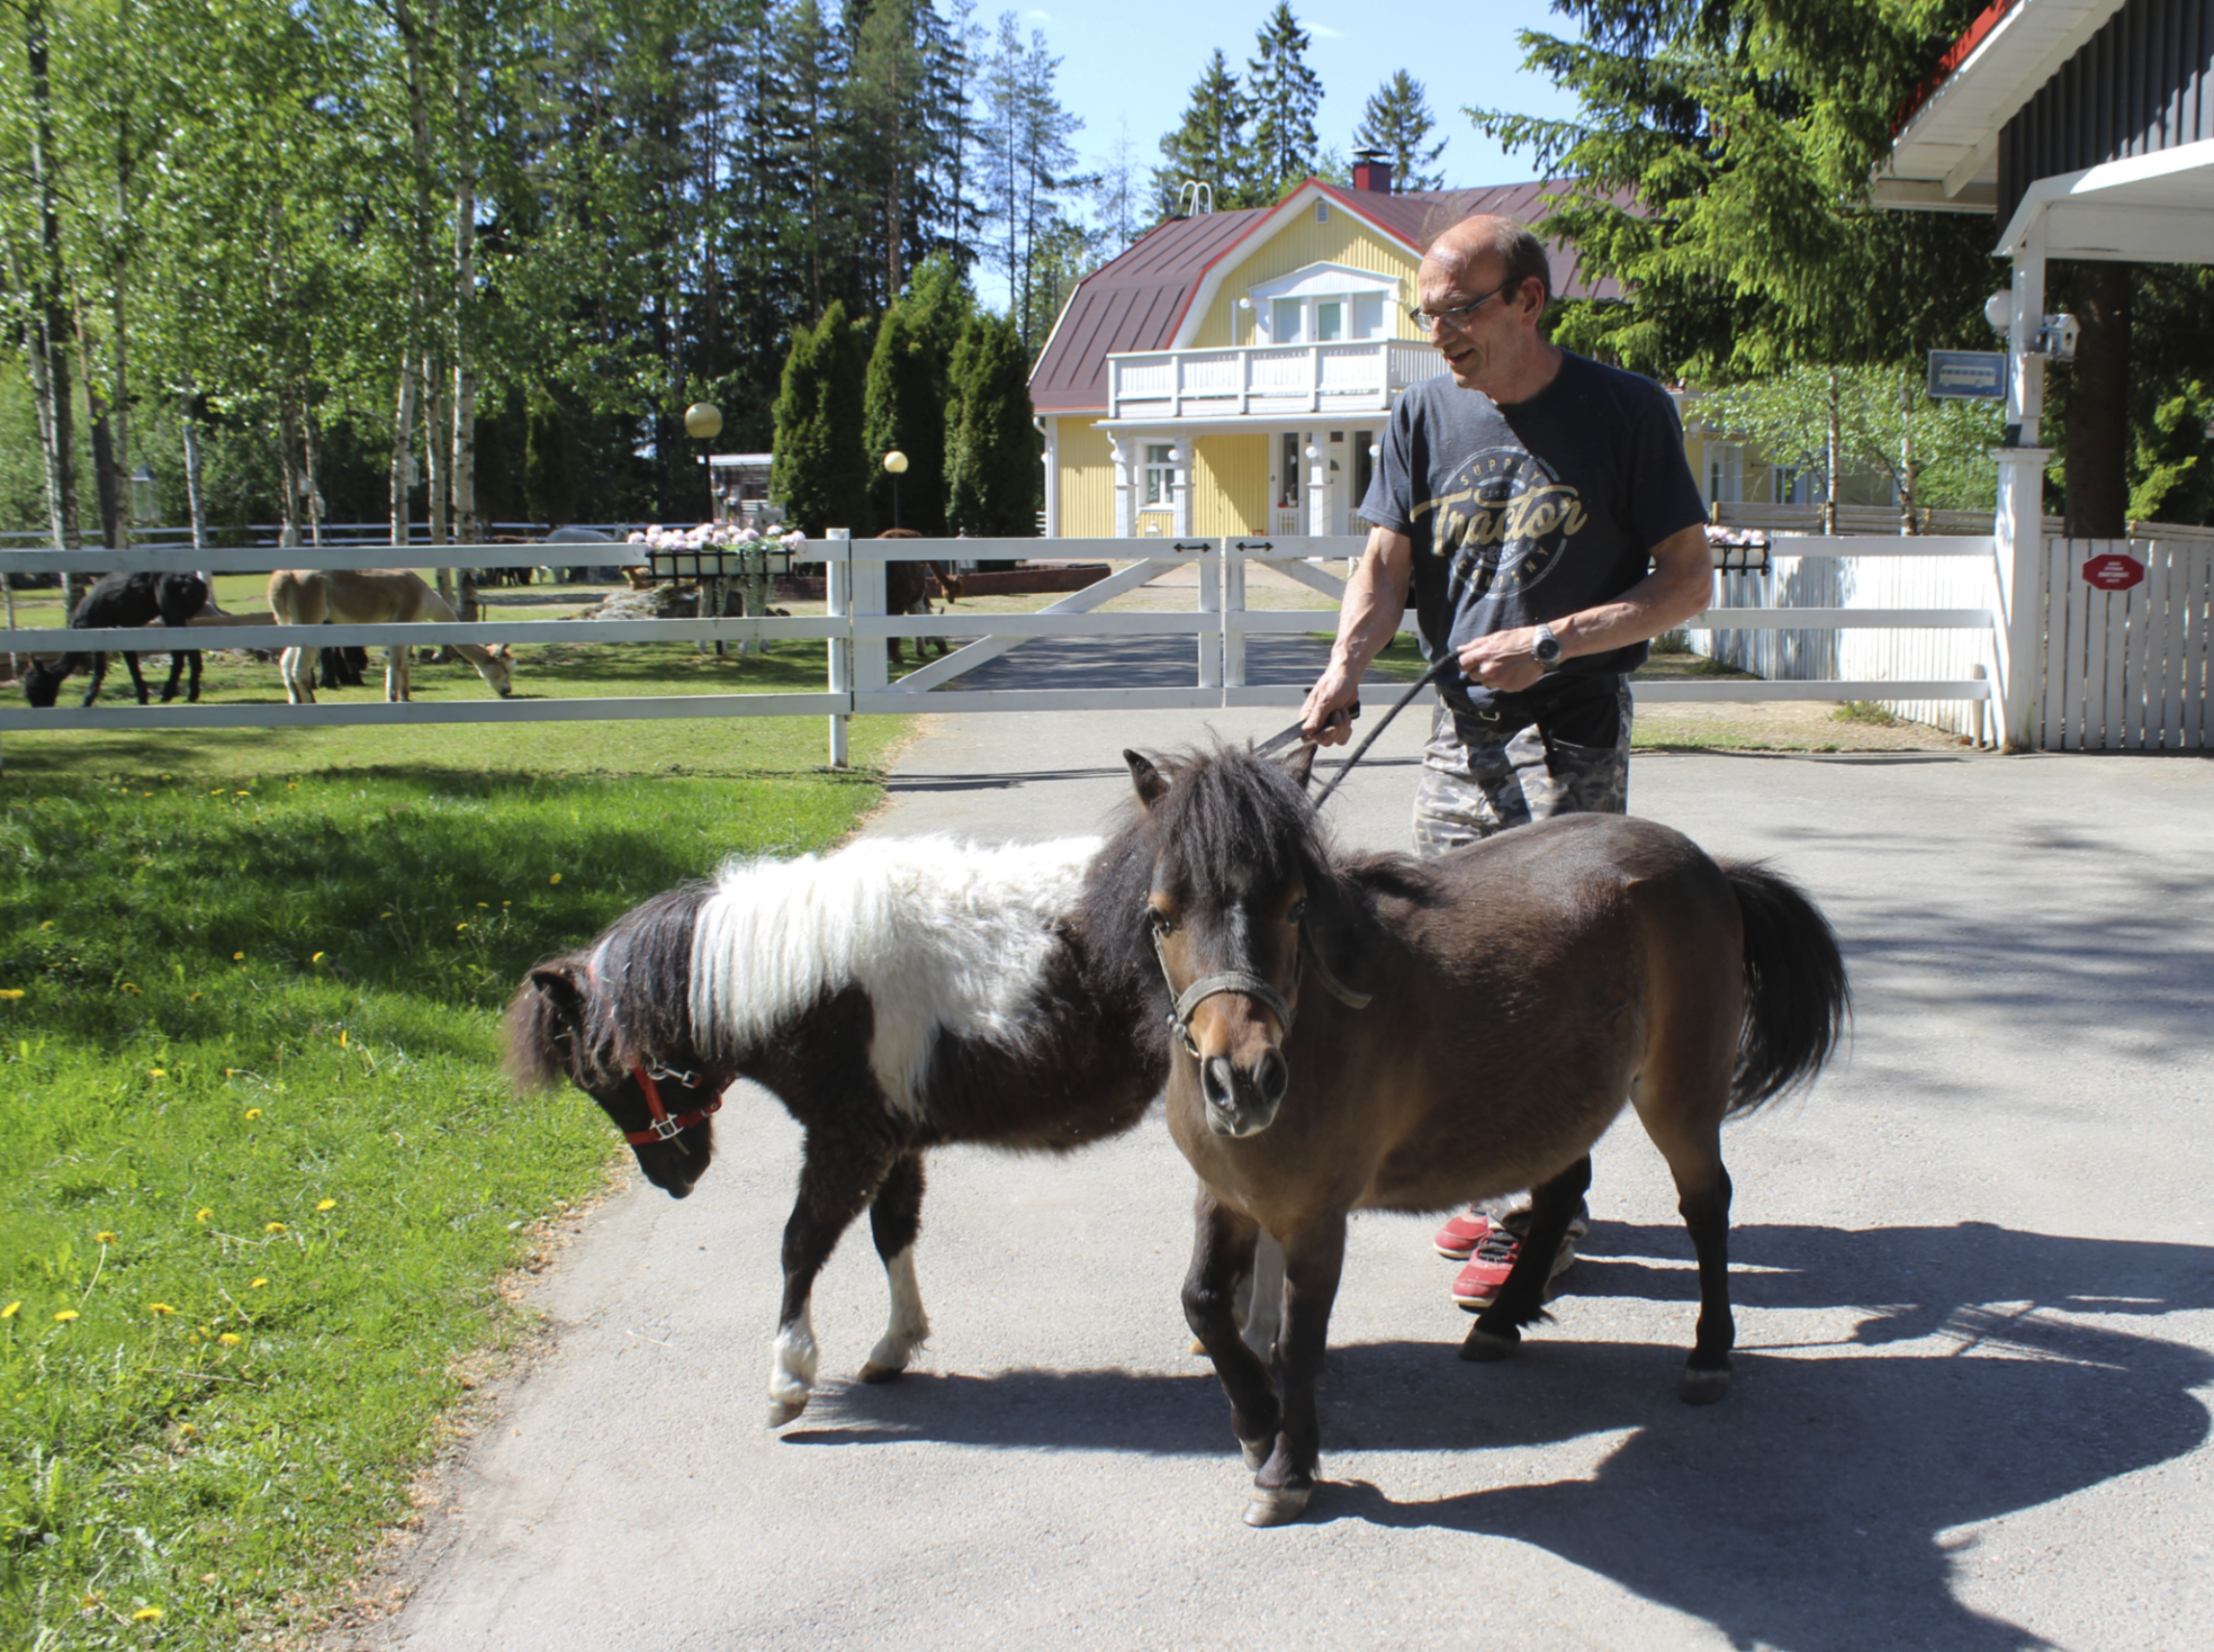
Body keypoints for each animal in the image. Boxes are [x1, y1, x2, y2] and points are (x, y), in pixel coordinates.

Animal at [498, 841, 1160, 1426]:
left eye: (600, 1076)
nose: (674, 1177)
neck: (813, 981)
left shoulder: (849, 1141)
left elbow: (800, 1244)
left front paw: (788, 1379)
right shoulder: (892, 1141)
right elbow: (891, 1232)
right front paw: (896, 1344)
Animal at [1107, 743, 1850, 1514]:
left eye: (1295, 908)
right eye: (1161, 918)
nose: (1245, 1081)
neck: (1319, 1022)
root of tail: (1711, 868)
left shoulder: (1316, 1219)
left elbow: (1300, 1344)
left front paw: (1289, 1469)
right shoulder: (1225, 1197)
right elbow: (1201, 1304)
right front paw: (1256, 1420)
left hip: (1680, 1095)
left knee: (1706, 1206)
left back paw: (1708, 1353)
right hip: (1554, 1104)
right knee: (1560, 1195)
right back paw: (1501, 1319)